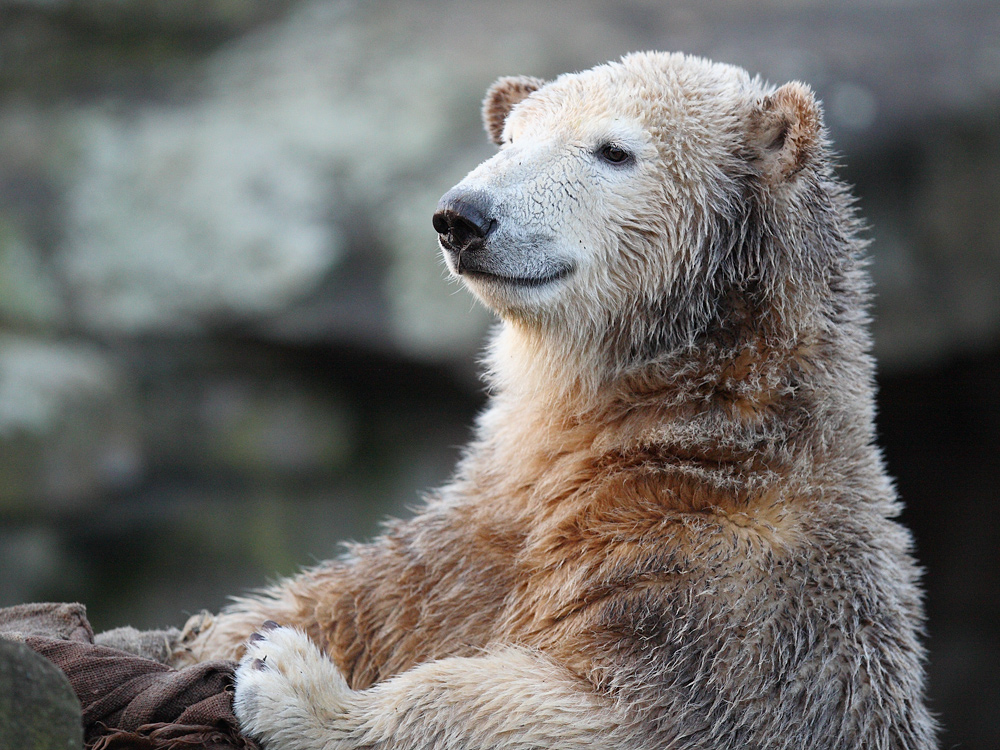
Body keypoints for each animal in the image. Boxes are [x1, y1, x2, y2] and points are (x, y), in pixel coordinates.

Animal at [180, 53, 936, 750]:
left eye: (613, 150)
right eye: (509, 139)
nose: (462, 217)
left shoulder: (741, 610)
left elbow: (607, 715)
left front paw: (299, 688)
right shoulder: (491, 520)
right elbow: (369, 594)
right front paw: (202, 638)